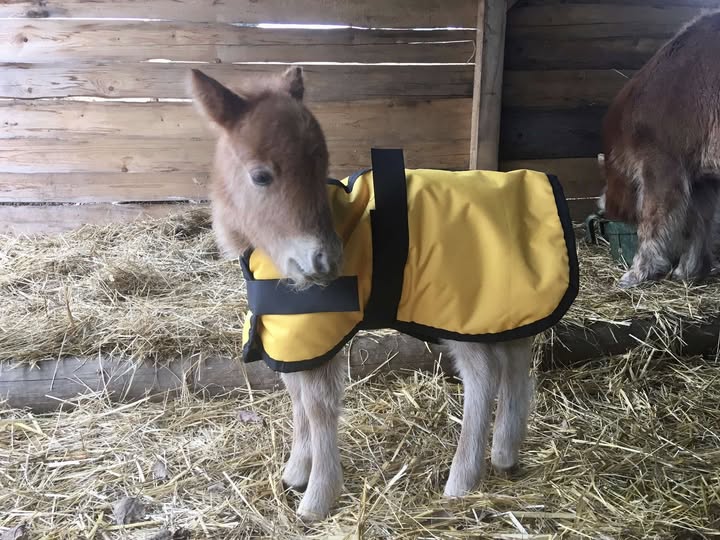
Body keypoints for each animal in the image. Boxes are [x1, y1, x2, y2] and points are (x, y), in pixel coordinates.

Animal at [189, 66, 563, 522]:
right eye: (261, 175)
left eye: (321, 163)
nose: (324, 262)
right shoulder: (288, 335)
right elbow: (295, 394)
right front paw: (295, 472)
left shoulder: (319, 333)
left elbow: (318, 405)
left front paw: (317, 498)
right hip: (503, 307)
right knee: (515, 359)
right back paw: (506, 453)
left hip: (462, 311)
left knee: (484, 374)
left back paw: (461, 480)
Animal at [599, 11, 720, 288]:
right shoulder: (703, 177)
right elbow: (700, 221)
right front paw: (689, 270)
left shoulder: (661, 166)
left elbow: (652, 220)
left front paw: (638, 271)